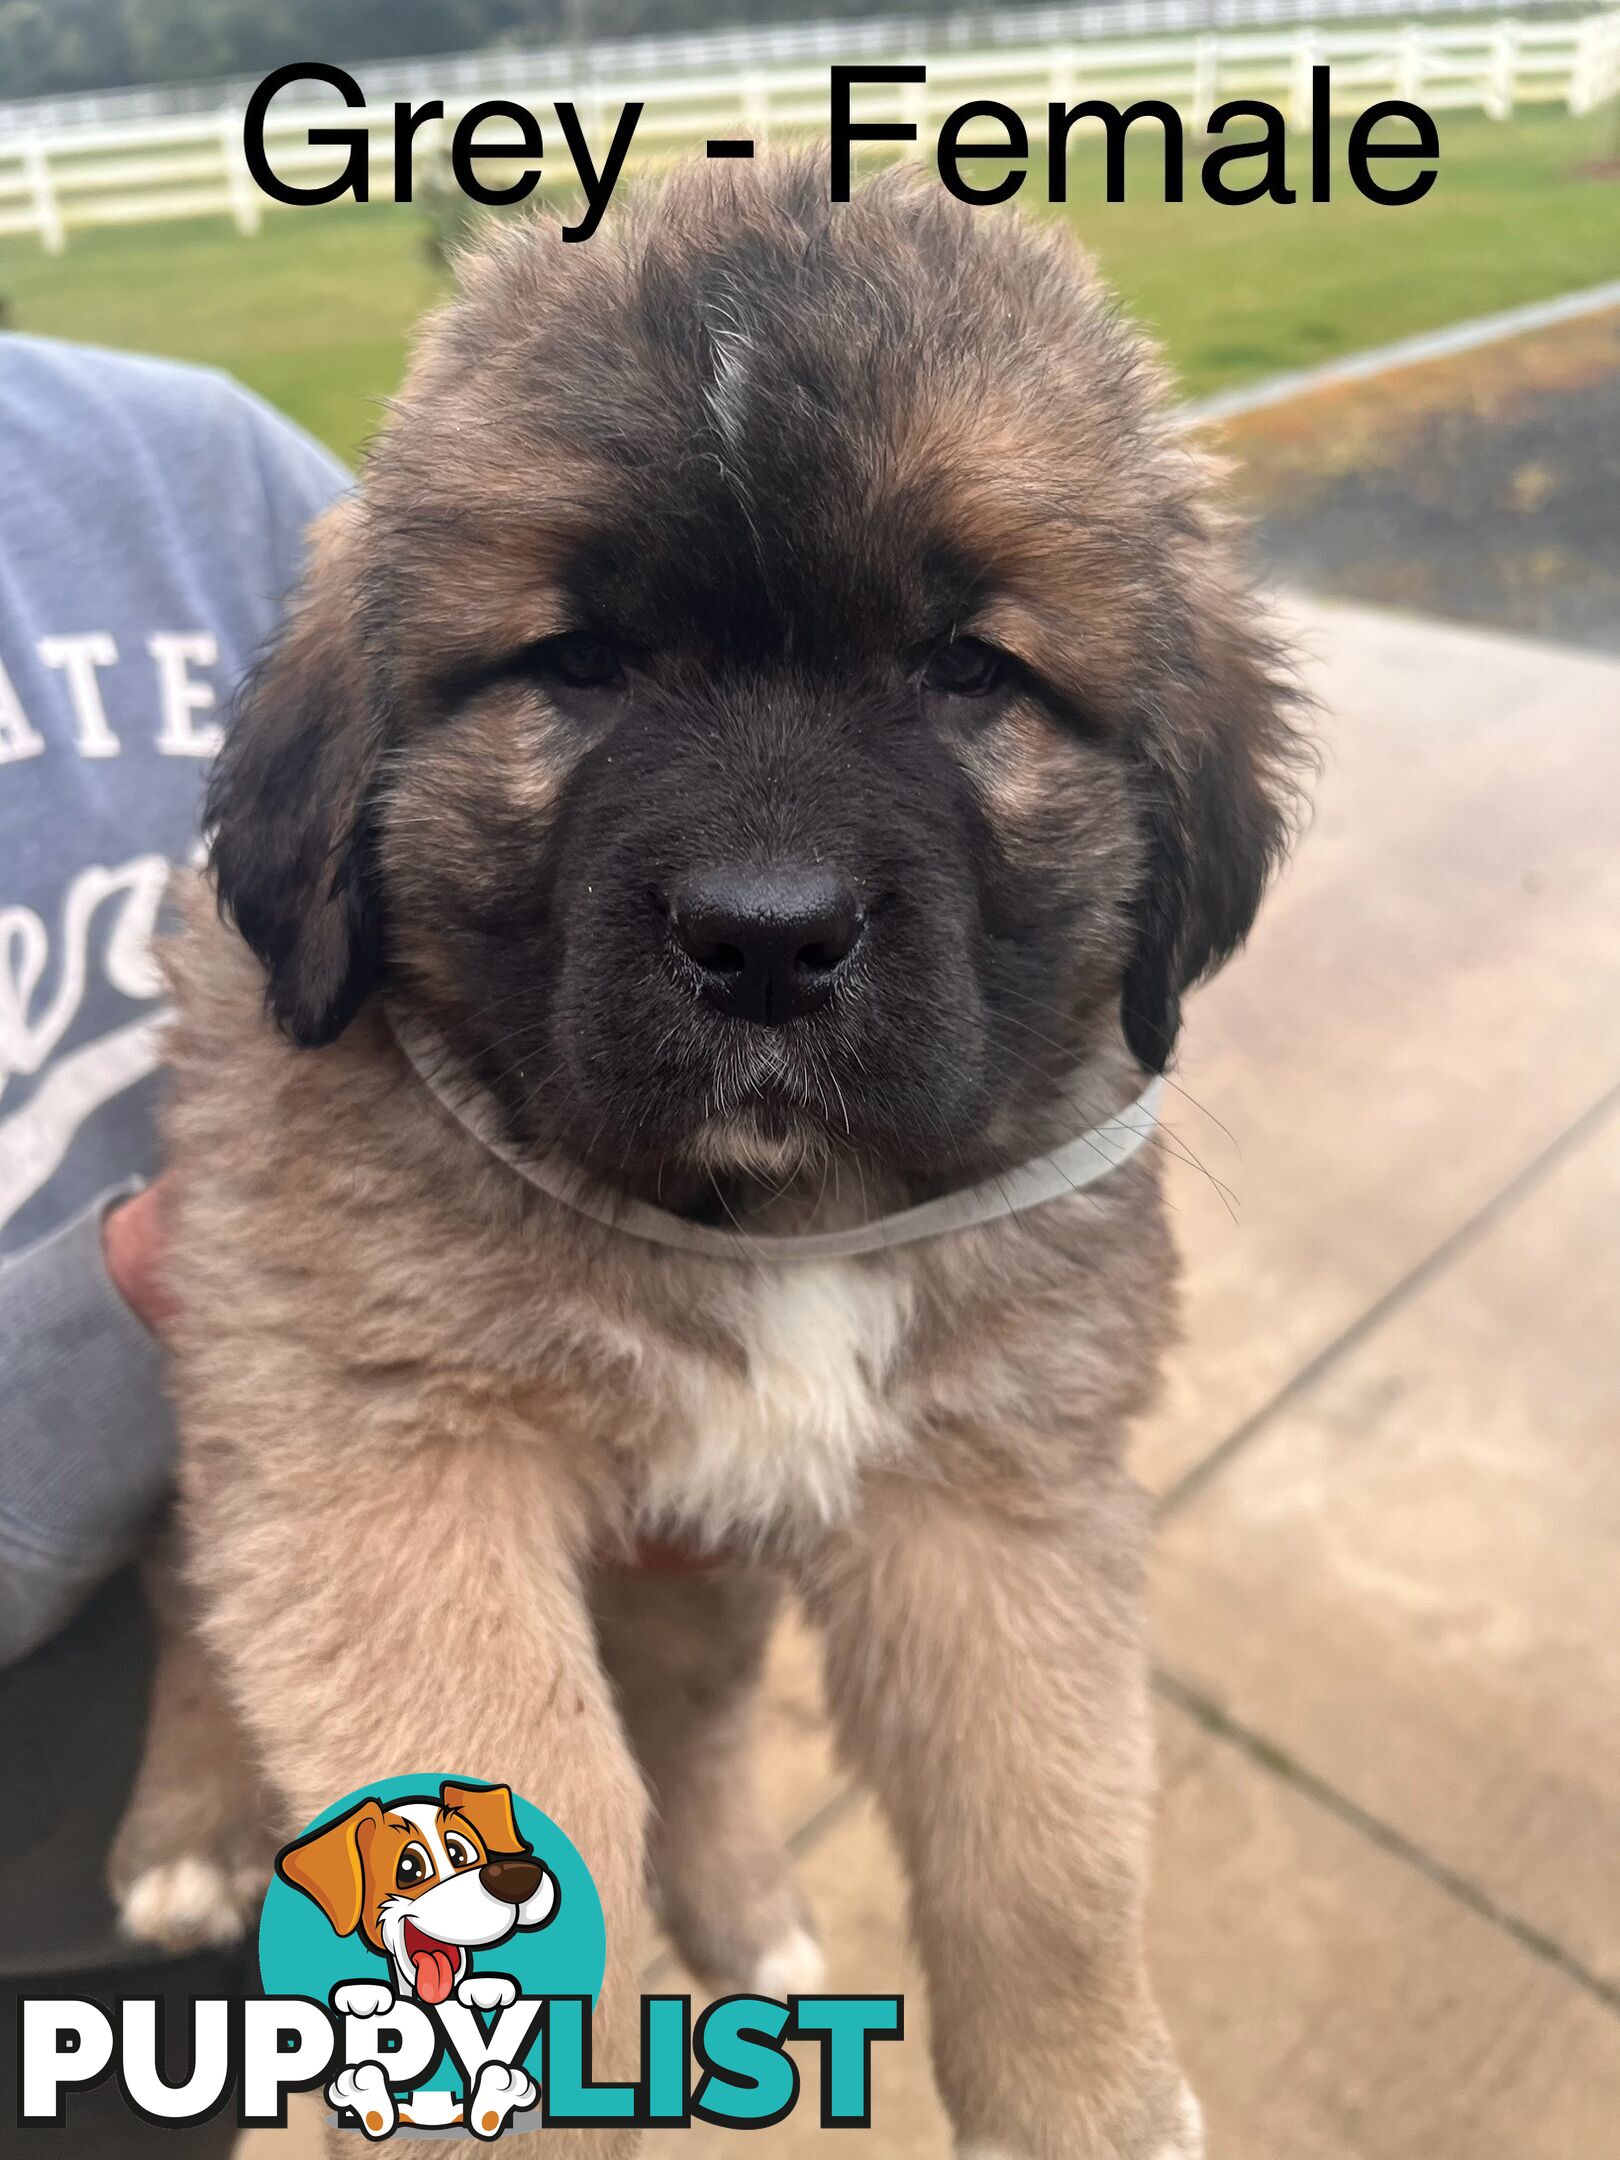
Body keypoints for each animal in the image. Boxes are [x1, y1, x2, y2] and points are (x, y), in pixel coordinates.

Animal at [114, 159, 1304, 2160]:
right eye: (578, 665)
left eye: (967, 669)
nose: (765, 936)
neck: (771, 1224)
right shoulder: (374, 1431)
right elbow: (521, 1770)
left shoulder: (993, 1482)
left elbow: (1047, 1851)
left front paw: (1090, 2102)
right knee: (197, 1606)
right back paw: (189, 1826)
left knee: (700, 1719)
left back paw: (751, 1915)